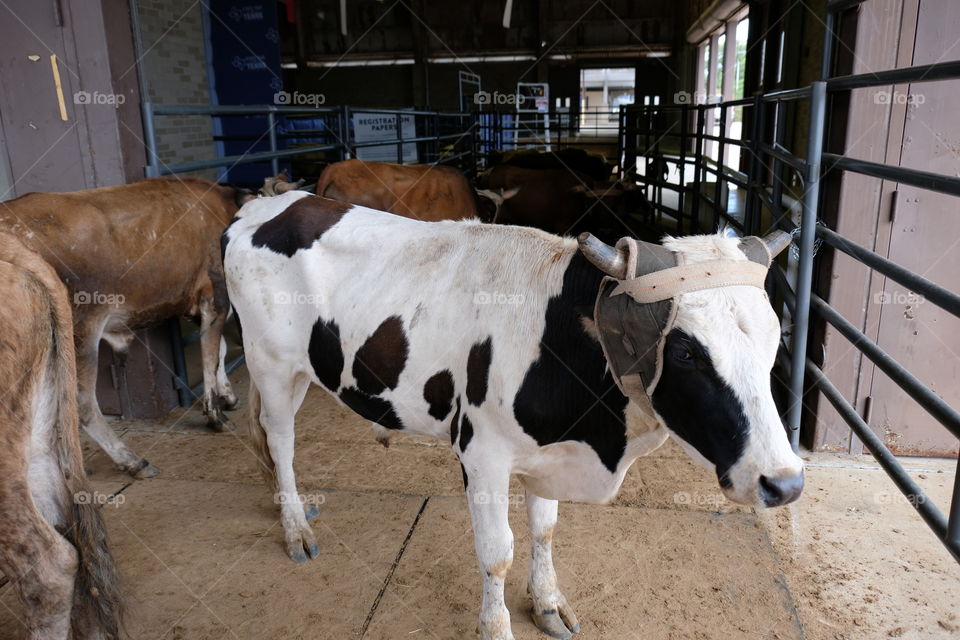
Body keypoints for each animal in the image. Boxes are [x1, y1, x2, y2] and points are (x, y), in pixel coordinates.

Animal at [0, 177, 250, 478]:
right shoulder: (215, 296)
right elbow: (210, 357)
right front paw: (216, 416)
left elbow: (220, 350)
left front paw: (228, 396)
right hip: (81, 333)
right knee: (81, 403)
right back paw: (133, 461)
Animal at [222, 191, 804, 640]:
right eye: (684, 352)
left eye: (776, 335)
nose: (785, 482)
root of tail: (267, 204)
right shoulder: (482, 454)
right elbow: (496, 550)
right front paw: (497, 624)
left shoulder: (549, 454)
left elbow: (544, 530)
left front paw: (547, 602)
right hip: (271, 365)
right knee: (280, 439)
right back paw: (295, 525)